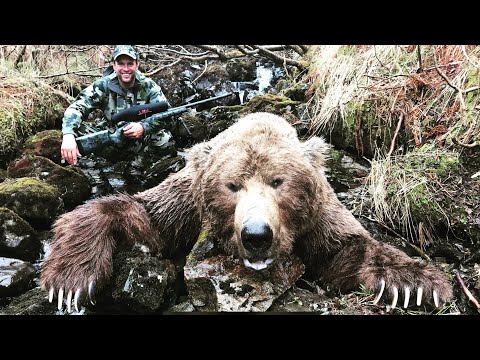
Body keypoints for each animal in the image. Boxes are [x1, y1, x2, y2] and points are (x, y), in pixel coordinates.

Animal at [39, 112, 452, 312]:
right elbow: (146, 219)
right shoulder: (188, 202)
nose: (256, 236)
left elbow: (345, 249)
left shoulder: (318, 215)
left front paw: (415, 284)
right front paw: (71, 282)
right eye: (232, 185)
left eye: (278, 181)